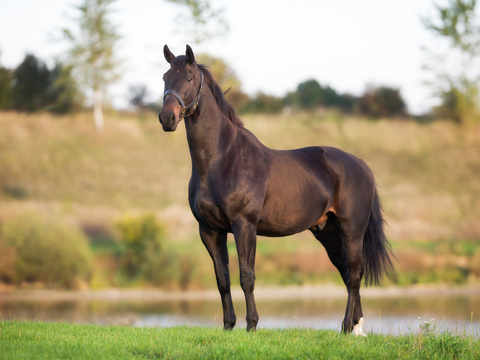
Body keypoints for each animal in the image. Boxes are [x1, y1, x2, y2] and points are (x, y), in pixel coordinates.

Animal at [159, 44, 396, 334]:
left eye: (189, 78)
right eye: (165, 78)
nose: (167, 118)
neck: (222, 159)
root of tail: (362, 166)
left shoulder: (244, 226)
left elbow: (246, 277)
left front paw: (251, 325)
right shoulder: (210, 231)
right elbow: (222, 280)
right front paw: (228, 326)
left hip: (352, 230)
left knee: (353, 275)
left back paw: (346, 327)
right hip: (328, 232)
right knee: (347, 272)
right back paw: (356, 328)